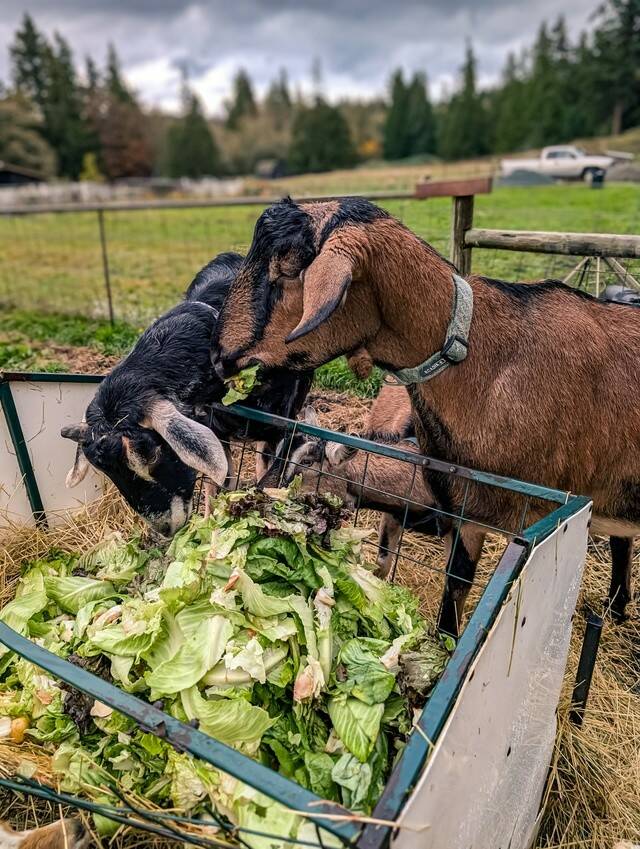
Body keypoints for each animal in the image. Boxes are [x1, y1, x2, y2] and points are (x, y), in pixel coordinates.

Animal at [61, 251, 313, 536]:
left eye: (151, 454)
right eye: (105, 470)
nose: (166, 528)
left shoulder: (283, 420)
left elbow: (270, 474)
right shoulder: (216, 428)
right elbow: (219, 484)